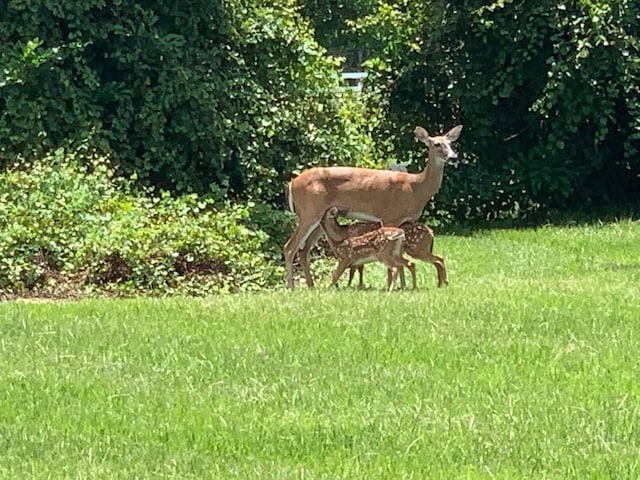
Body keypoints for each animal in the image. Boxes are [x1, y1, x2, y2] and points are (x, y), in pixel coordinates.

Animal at [284, 124, 460, 288]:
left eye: (451, 143)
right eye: (436, 144)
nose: (453, 157)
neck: (416, 187)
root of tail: (292, 183)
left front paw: (402, 286)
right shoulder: (390, 216)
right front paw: (393, 286)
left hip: (319, 217)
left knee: (303, 249)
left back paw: (310, 285)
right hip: (309, 211)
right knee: (289, 247)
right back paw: (292, 287)